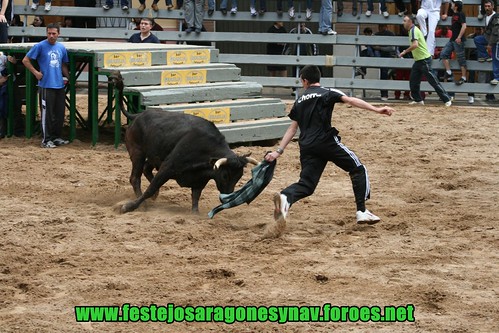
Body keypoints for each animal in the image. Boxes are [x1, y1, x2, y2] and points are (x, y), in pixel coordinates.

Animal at [109, 72, 258, 213]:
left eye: (239, 176)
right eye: (225, 175)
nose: (227, 198)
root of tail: (137, 116)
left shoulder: (200, 180)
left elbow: (195, 198)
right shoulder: (167, 167)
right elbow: (150, 188)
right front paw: (128, 207)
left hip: (155, 154)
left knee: (146, 169)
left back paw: (155, 196)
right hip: (137, 153)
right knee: (135, 178)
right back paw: (143, 205)